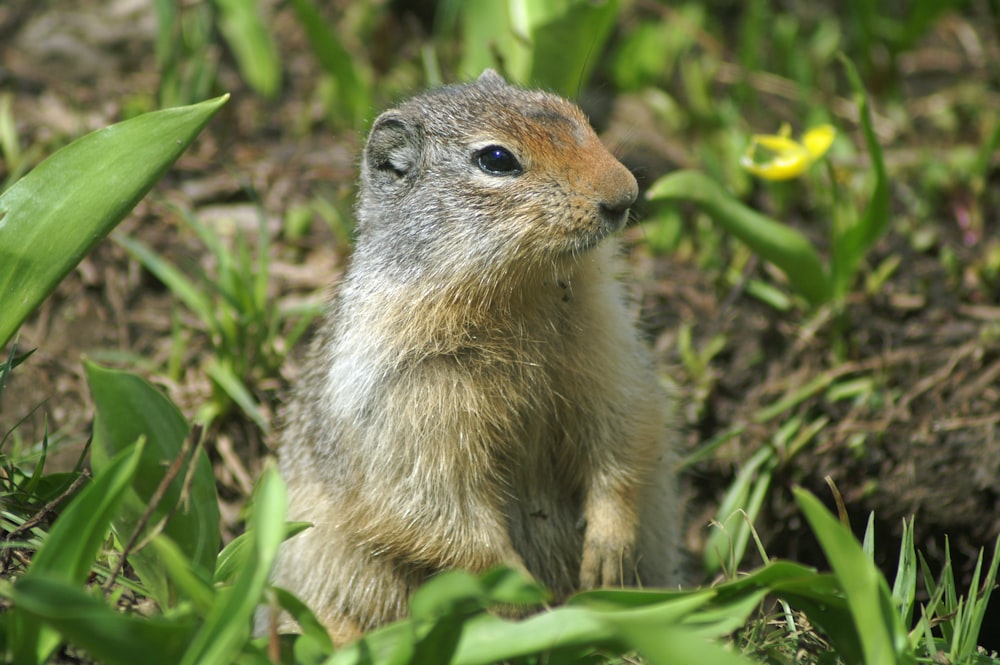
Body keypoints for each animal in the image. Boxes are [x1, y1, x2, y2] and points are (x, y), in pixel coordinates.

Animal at [270, 68, 684, 644]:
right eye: (496, 159)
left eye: (573, 112)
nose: (624, 194)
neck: (520, 299)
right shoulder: (408, 398)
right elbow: (434, 506)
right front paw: (524, 596)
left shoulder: (608, 347)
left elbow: (624, 431)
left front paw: (606, 556)